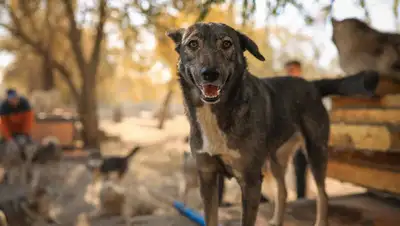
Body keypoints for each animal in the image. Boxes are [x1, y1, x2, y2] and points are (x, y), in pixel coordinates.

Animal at [166, 22, 382, 226]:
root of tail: (311, 84)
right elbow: (211, 218)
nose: (210, 74)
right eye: (193, 44)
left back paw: (321, 221)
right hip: (277, 159)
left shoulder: (251, 180)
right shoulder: (207, 177)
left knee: (323, 194)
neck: (218, 112)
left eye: (226, 44)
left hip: (315, 152)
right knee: (283, 191)